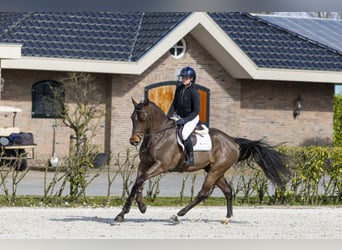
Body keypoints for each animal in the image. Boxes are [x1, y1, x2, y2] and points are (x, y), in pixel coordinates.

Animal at [114, 97, 292, 223]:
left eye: (143, 118)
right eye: (132, 117)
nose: (134, 141)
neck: (158, 135)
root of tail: (233, 141)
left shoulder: (161, 166)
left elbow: (140, 181)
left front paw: (132, 209)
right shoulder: (144, 164)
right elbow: (138, 183)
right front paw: (133, 209)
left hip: (215, 171)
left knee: (203, 193)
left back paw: (178, 214)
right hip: (215, 170)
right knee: (228, 190)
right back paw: (227, 217)